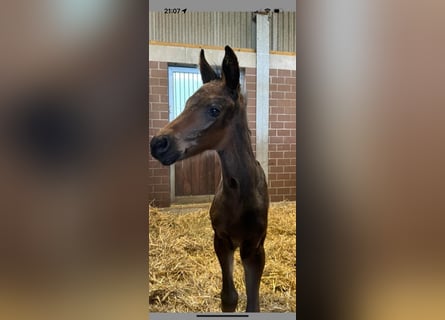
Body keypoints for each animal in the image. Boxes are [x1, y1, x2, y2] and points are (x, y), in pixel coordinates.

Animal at [150, 45, 268, 312]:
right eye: (187, 103)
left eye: (215, 109)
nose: (158, 144)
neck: (240, 193)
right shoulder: (221, 240)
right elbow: (229, 298)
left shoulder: (254, 248)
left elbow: (252, 304)